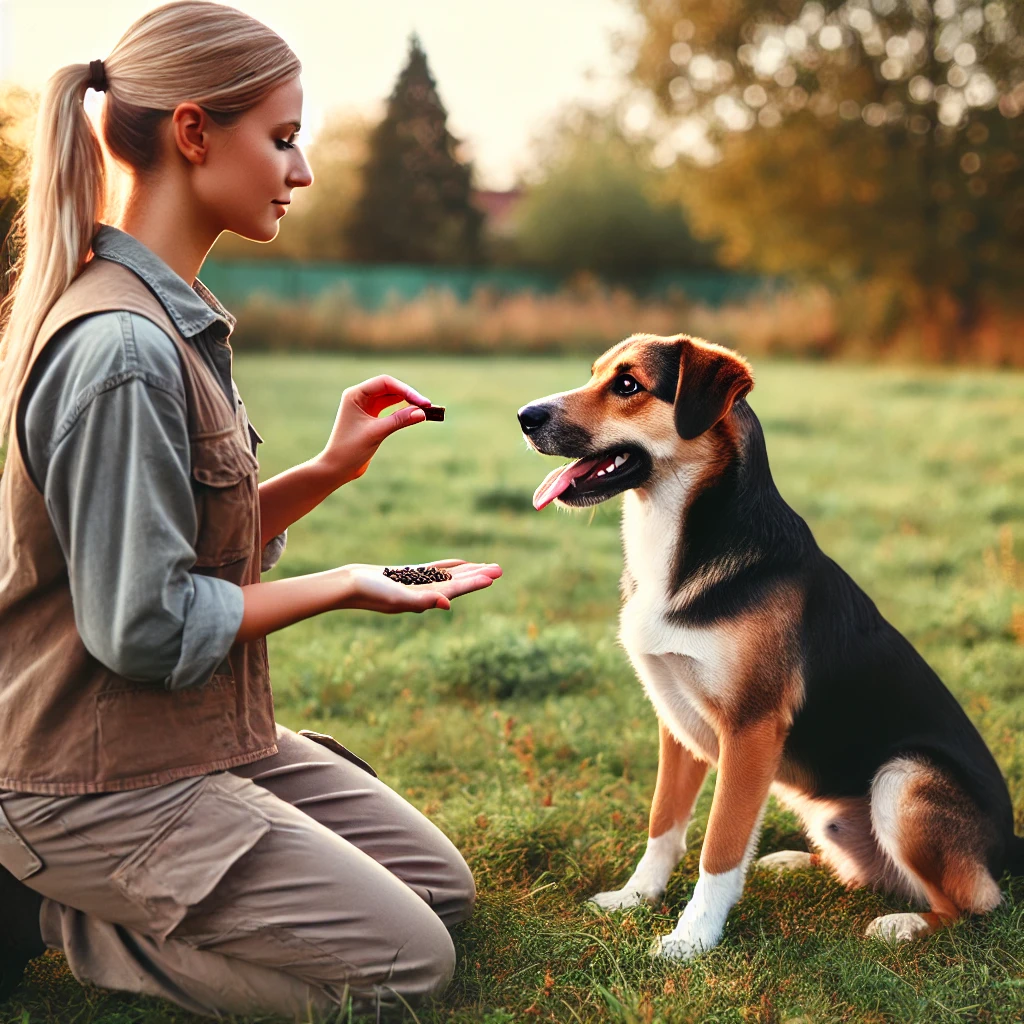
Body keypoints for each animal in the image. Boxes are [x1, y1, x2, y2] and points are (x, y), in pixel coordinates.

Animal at [520, 333, 1024, 958]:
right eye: (594, 375)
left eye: (628, 384)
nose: (524, 417)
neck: (680, 537)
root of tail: (1011, 843)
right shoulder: (674, 725)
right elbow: (664, 824)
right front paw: (635, 897)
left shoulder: (751, 729)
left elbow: (719, 846)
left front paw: (692, 939)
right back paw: (790, 862)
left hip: (904, 778)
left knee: (976, 905)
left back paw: (903, 925)